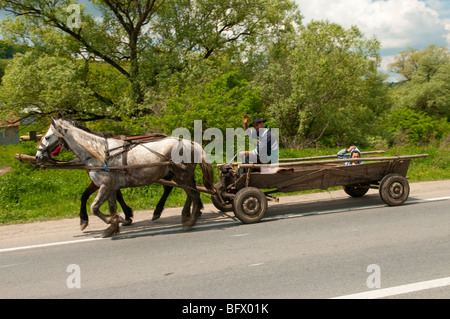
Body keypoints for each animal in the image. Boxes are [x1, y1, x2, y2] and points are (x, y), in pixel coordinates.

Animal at [35, 117, 214, 238]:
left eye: (47, 137)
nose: (38, 156)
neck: (100, 153)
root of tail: (191, 143)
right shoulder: (110, 186)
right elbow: (111, 206)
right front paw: (114, 225)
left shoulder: (104, 186)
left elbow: (94, 206)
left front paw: (113, 220)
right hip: (179, 176)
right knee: (190, 192)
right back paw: (186, 215)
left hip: (182, 175)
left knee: (193, 194)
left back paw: (188, 221)